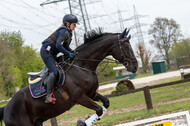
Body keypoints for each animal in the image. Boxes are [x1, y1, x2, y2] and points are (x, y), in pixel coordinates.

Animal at [0, 28, 137, 126]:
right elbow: (98, 110)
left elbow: (105, 104)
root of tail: (6, 108)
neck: (82, 66)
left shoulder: (91, 94)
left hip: (37, 122)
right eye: (126, 46)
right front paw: (81, 123)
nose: (135, 66)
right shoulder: (80, 97)